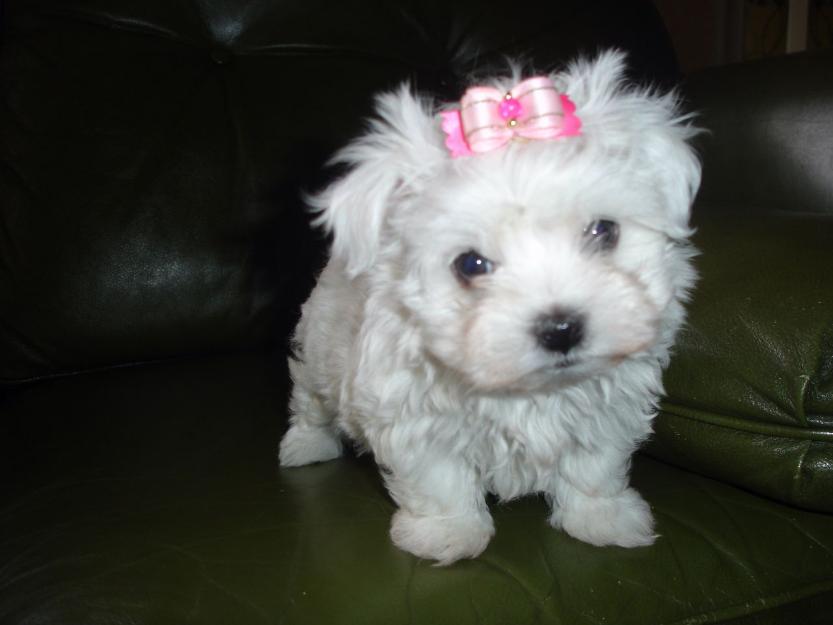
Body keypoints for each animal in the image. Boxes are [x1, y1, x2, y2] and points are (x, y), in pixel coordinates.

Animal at [276, 51, 700, 564]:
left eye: (603, 231)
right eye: (470, 264)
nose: (561, 328)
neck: (526, 391)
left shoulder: (609, 406)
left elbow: (593, 463)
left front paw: (600, 517)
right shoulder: (414, 415)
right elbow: (440, 478)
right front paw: (448, 533)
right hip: (319, 350)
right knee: (309, 399)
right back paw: (304, 445)